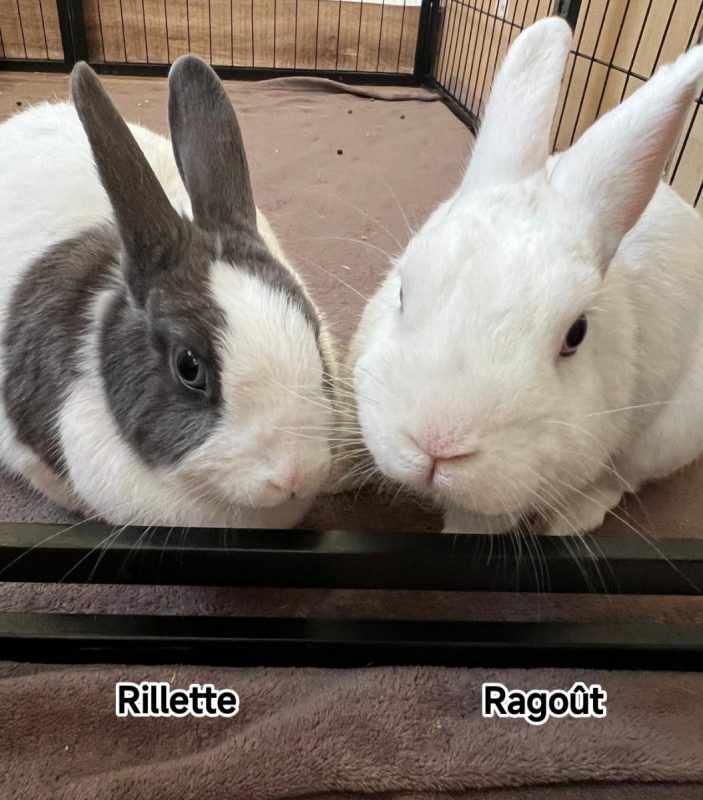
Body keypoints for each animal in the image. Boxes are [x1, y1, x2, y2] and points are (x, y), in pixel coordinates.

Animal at [349, 16, 703, 536]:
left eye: (576, 334)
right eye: (401, 293)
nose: (437, 442)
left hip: (669, 435)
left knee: (622, 477)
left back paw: (572, 520)